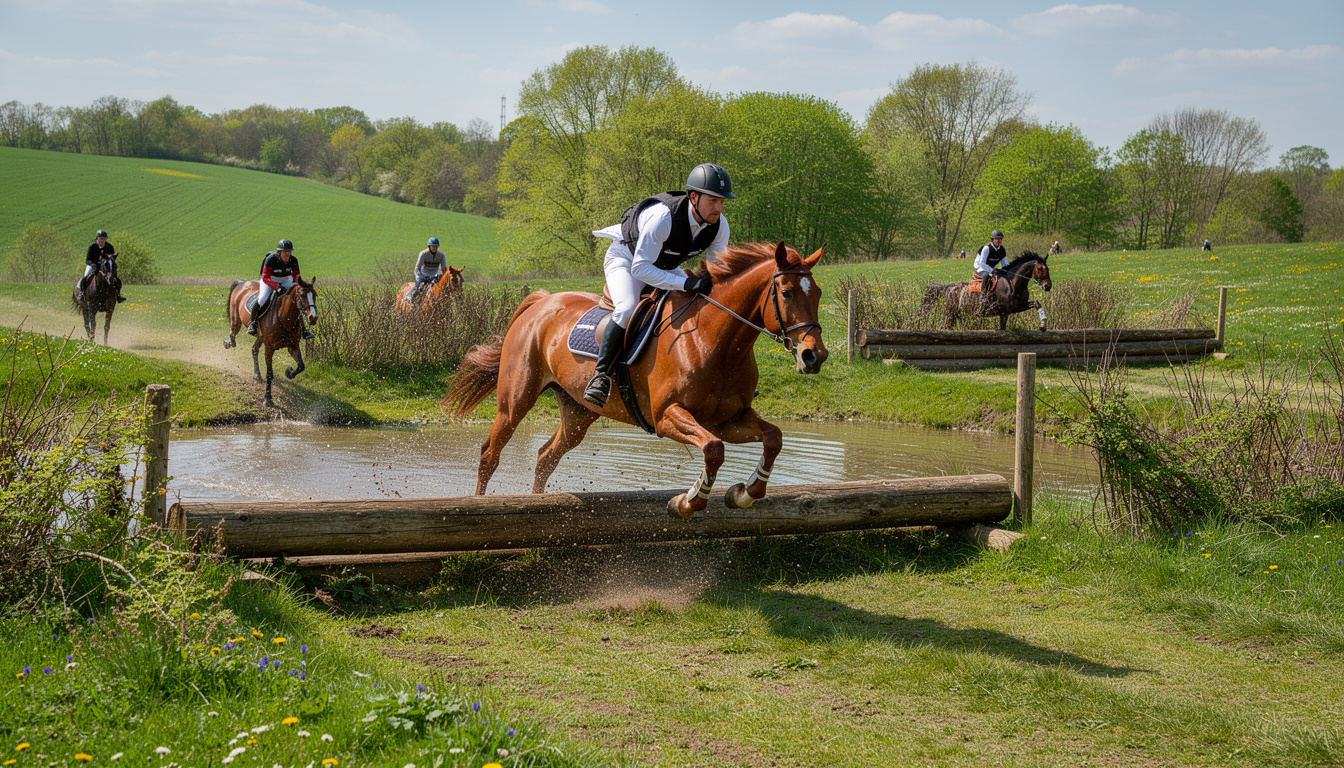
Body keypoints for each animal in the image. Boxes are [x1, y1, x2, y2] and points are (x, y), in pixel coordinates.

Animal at [224, 277, 319, 408]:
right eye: (302, 295)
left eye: (315, 295)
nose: (313, 318)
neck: (285, 318)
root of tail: (242, 283)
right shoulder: (269, 348)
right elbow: (269, 373)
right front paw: (268, 399)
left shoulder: (293, 346)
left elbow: (301, 366)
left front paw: (289, 372)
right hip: (236, 321)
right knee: (233, 335)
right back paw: (228, 343)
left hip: (260, 336)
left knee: (254, 349)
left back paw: (257, 374)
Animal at [440, 242, 828, 518]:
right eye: (787, 293)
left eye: (819, 294)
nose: (815, 356)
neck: (714, 341)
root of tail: (541, 302)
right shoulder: (668, 415)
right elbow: (712, 450)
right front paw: (687, 502)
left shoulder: (729, 420)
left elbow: (772, 438)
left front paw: (746, 493)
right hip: (516, 399)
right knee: (490, 454)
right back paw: (478, 504)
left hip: (577, 411)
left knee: (546, 456)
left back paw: (539, 502)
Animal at [921, 251, 1053, 331]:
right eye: (1040, 269)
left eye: (1047, 269)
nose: (1048, 286)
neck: (1014, 283)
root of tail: (950, 287)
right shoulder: (1004, 312)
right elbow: (1003, 328)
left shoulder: (1017, 307)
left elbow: (1037, 303)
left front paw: (1043, 324)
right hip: (950, 313)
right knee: (944, 326)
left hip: (958, 314)